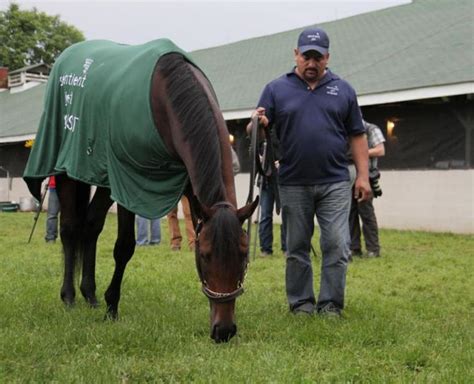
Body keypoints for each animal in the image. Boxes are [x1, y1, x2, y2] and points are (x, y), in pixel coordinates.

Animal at [23, 40, 258, 344]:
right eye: (205, 255)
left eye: (243, 255)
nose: (224, 331)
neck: (165, 99)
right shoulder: (130, 184)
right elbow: (124, 247)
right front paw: (112, 306)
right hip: (66, 171)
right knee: (71, 228)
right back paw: (70, 296)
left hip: (104, 180)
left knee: (91, 226)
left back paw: (90, 294)